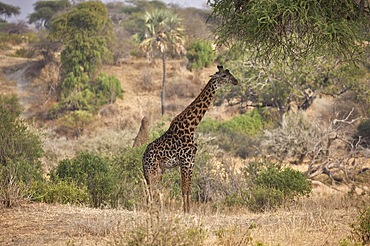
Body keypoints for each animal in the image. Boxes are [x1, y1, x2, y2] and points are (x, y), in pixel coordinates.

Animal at [142, 66, 237, 213]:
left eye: (229, 73)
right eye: (224, 76)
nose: (236, 81)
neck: (192, 127)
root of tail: (142, 157)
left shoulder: (191, 161)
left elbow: (188, 188)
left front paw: (188, 210)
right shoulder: (185, 161)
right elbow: (184, 188)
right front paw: (186, 211)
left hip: (159, 171)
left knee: (153, 190)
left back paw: (153, 209)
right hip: (152, 170)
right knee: (151, 190)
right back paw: (151, 210)